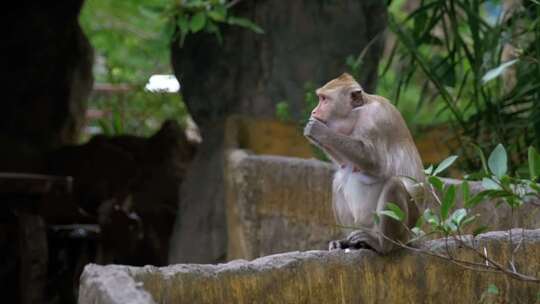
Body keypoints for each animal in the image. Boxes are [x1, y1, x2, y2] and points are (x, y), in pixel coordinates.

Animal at [304, 72, 426, 253]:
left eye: (324, 99)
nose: (314, 111)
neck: (358, 111)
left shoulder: (375, 118)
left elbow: (374, 161)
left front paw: (319, 131)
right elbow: (345, 163)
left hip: (407, 227)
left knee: (394, 185)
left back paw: (382, 245)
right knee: (338, 180)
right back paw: (348, 243)